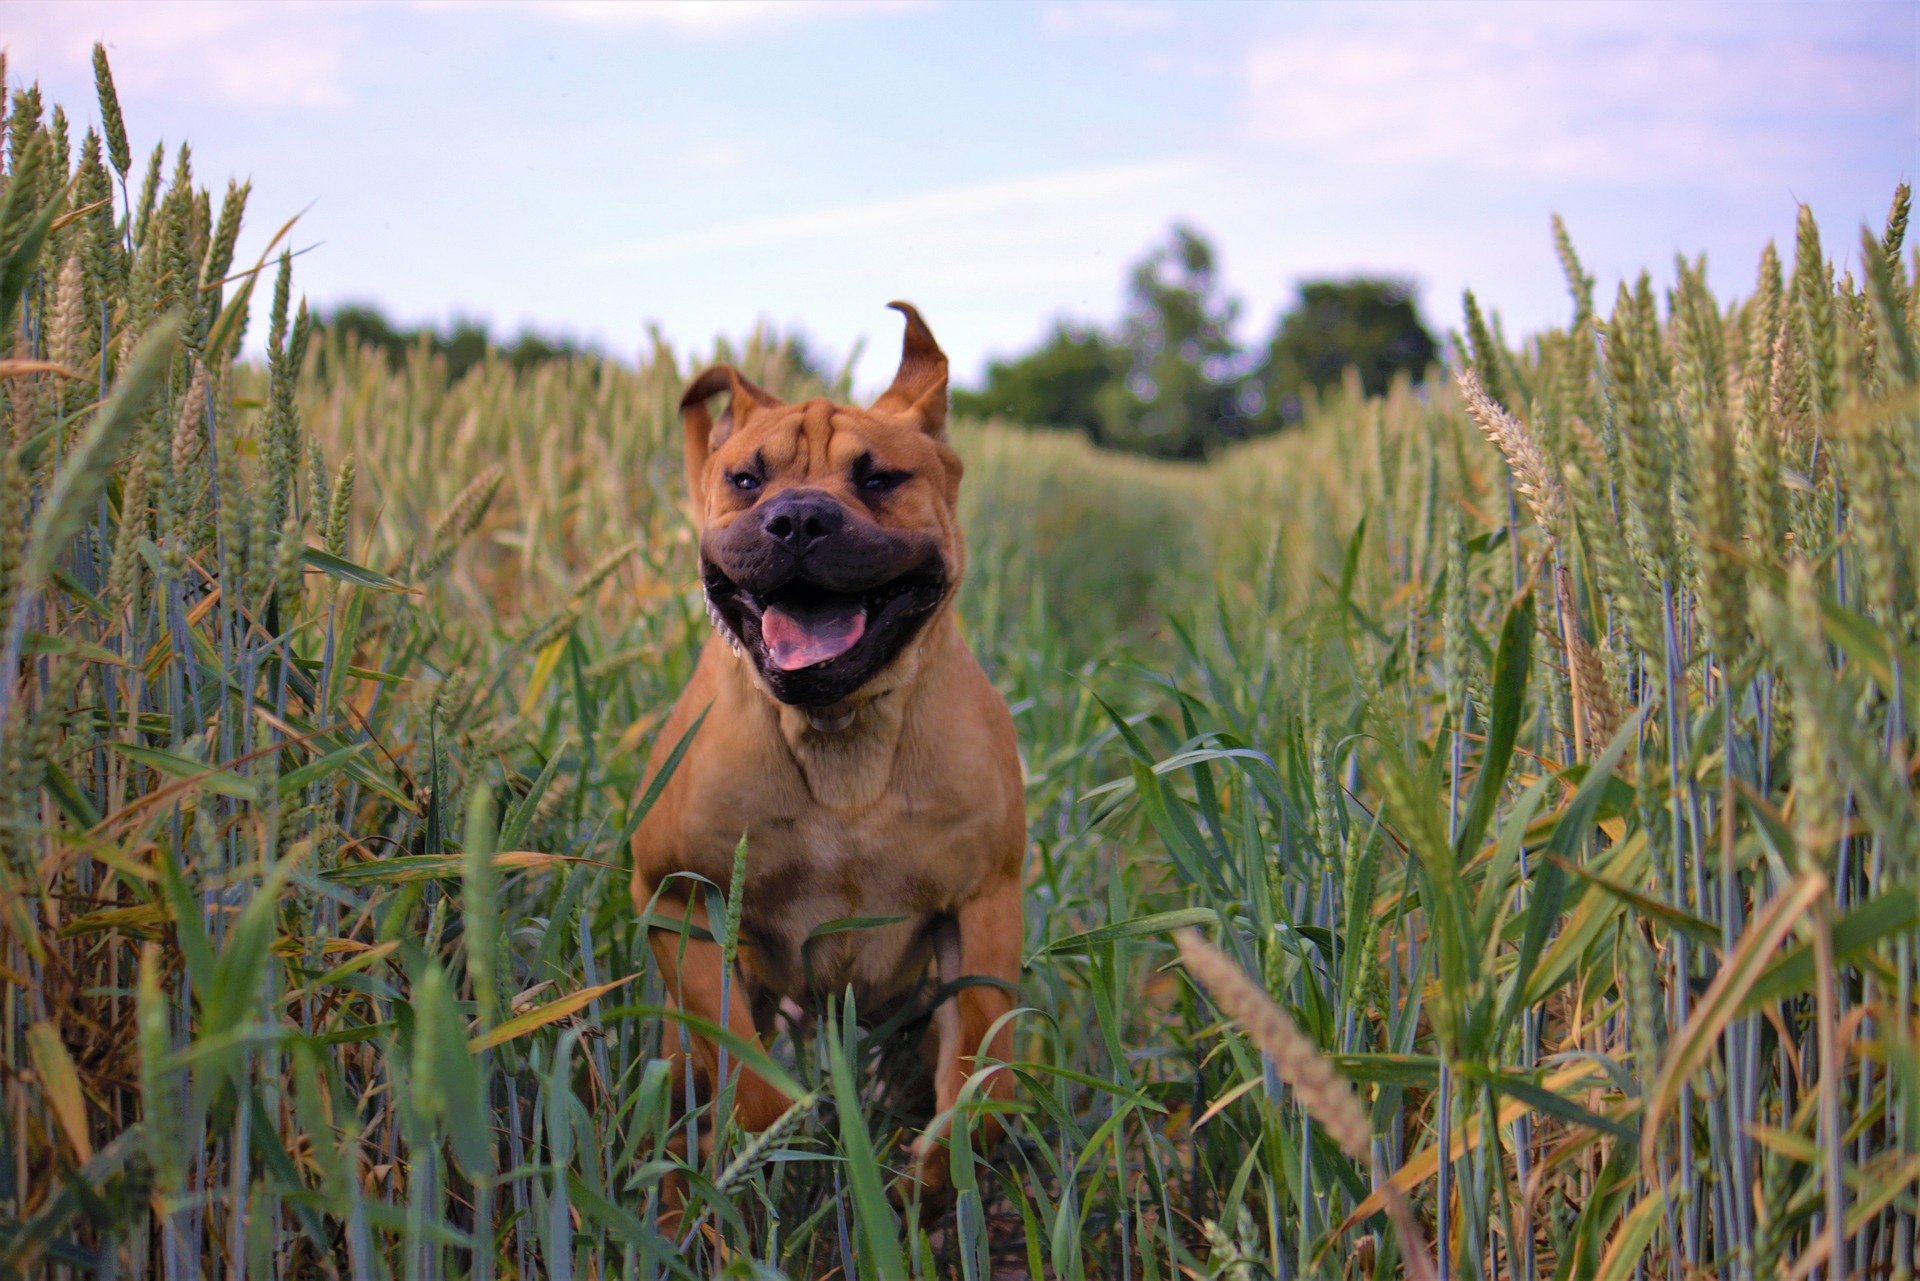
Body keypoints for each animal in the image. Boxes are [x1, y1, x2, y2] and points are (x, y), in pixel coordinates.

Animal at [629, 305, 1029, 1198]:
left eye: (879, 479)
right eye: (747, 479)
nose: (801, 518)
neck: (839, 732)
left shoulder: (984, 901)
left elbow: (981, 1055)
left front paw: (939, 1162)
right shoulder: (679, 898)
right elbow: (742, 1066)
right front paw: (776, 1140)